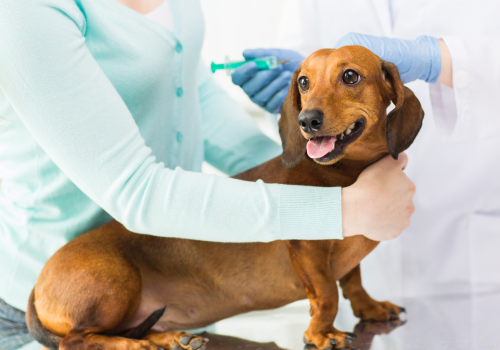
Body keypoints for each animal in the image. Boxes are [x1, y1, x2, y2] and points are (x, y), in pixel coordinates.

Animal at [26, 46, 422, 350]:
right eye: (304, 82)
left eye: (351, 76)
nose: (307, 120)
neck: (343, 170)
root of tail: (38, 284)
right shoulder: (308, 248)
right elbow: (327, 294)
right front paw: (321, 333)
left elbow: (352, 281)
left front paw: (370, 307)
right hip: (114, 287)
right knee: (77, 339)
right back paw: (136, 345)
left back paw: (173, 338)